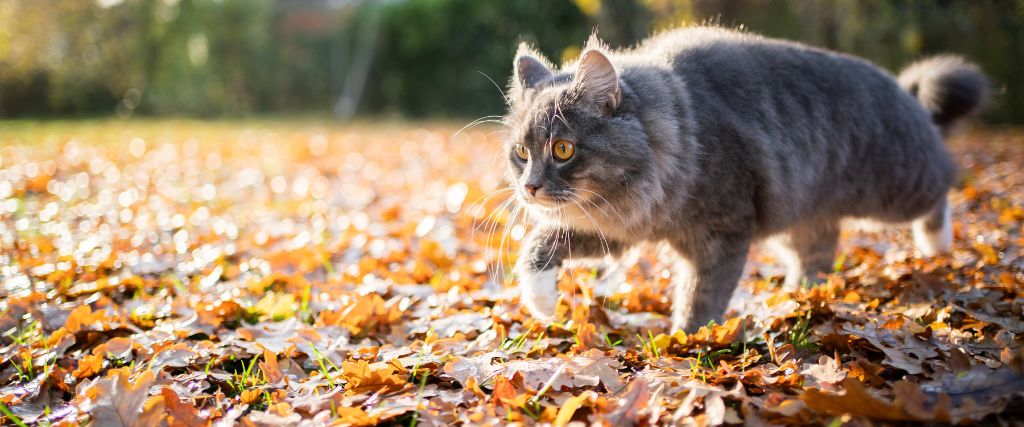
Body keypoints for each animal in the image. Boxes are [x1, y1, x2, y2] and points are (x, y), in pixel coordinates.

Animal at [501, 27, 983, 331]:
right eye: (521, 153)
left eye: (563, 149)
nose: (530, 187)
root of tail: (906, 93)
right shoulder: (617, 228)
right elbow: (539, 246)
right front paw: (542, 302)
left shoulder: (723, 230)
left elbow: (702, 296)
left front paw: (688, 342)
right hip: (803, 216)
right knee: (819, 251)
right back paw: (800, 295)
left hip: (898, 187)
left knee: (943, 182)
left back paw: (937, 243)